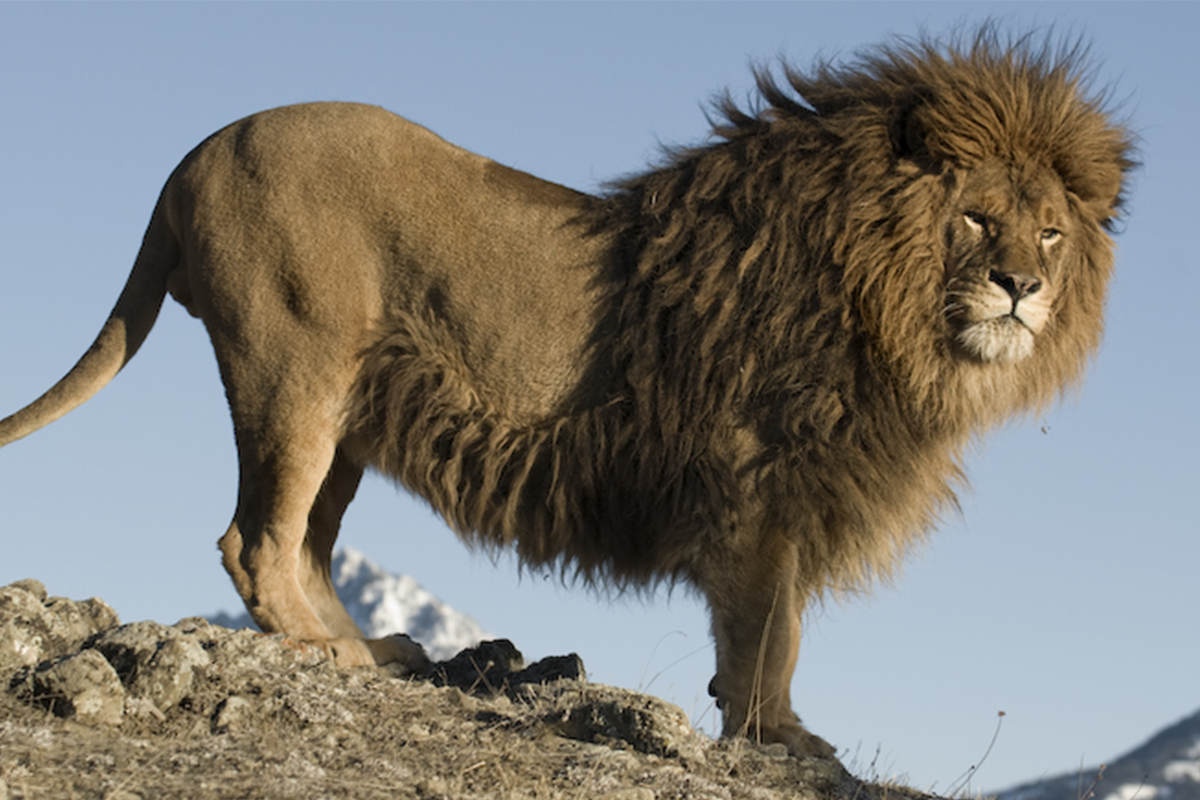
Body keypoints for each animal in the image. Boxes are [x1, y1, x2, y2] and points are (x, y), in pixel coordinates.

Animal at [0, 29, 1132, 758]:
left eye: (1052, 232)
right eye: (979, 218)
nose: (1021, 287)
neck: (889, 304)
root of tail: (188, 158)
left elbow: (769, 636)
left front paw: (777, 730)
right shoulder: (758, 488)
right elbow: (768, 633)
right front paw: (779, 742)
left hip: (352, 410)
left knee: (304, 539)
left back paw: (375, 648)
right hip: (294, 368)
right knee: (254, 538)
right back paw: (332, 655)